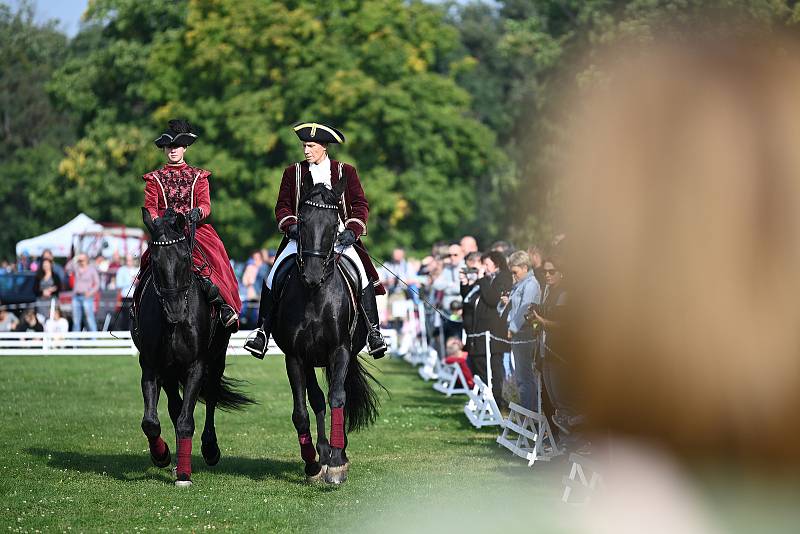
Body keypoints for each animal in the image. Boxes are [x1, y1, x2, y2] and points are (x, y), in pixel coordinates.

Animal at [134, 209, 253, 490]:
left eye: (186, 258)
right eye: (154, 260)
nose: (176, 311)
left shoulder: (195, 365)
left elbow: (187, 421)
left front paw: (184, 475)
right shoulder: (151, 366)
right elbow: (151, 422)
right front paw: (162, 455)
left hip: (216, 359)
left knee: (210, 397)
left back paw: (210, 450)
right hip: (170, 373)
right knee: (175, 408)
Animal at [274, 176, 382, 486]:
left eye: (335, 225)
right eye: (302, 221)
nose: (311, 274)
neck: (314, 295)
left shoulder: (340, 351)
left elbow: (338, 398)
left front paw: (336, 464)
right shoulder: (296, 357)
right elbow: (302, 411)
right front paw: (313, 464)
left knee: (337, 394)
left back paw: (338, 453)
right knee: (317, 399)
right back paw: (323, 453)